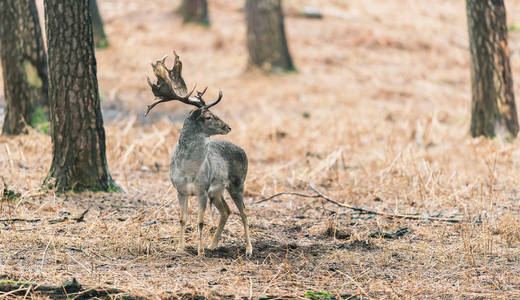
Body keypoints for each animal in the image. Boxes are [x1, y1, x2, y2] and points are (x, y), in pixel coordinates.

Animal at [145, 51, 253, 255]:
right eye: (208, 116)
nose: (228, 127)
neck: (188, 170)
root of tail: (244, 151)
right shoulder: (180, 190)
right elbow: (183, 219)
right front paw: (180, 248)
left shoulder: (202, 189)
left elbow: (201, 221)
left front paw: (199, 251)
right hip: (217, 191)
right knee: (226, 211)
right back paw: (213, 244)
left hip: (237, 182)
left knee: (243, 212)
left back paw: (248, 249)